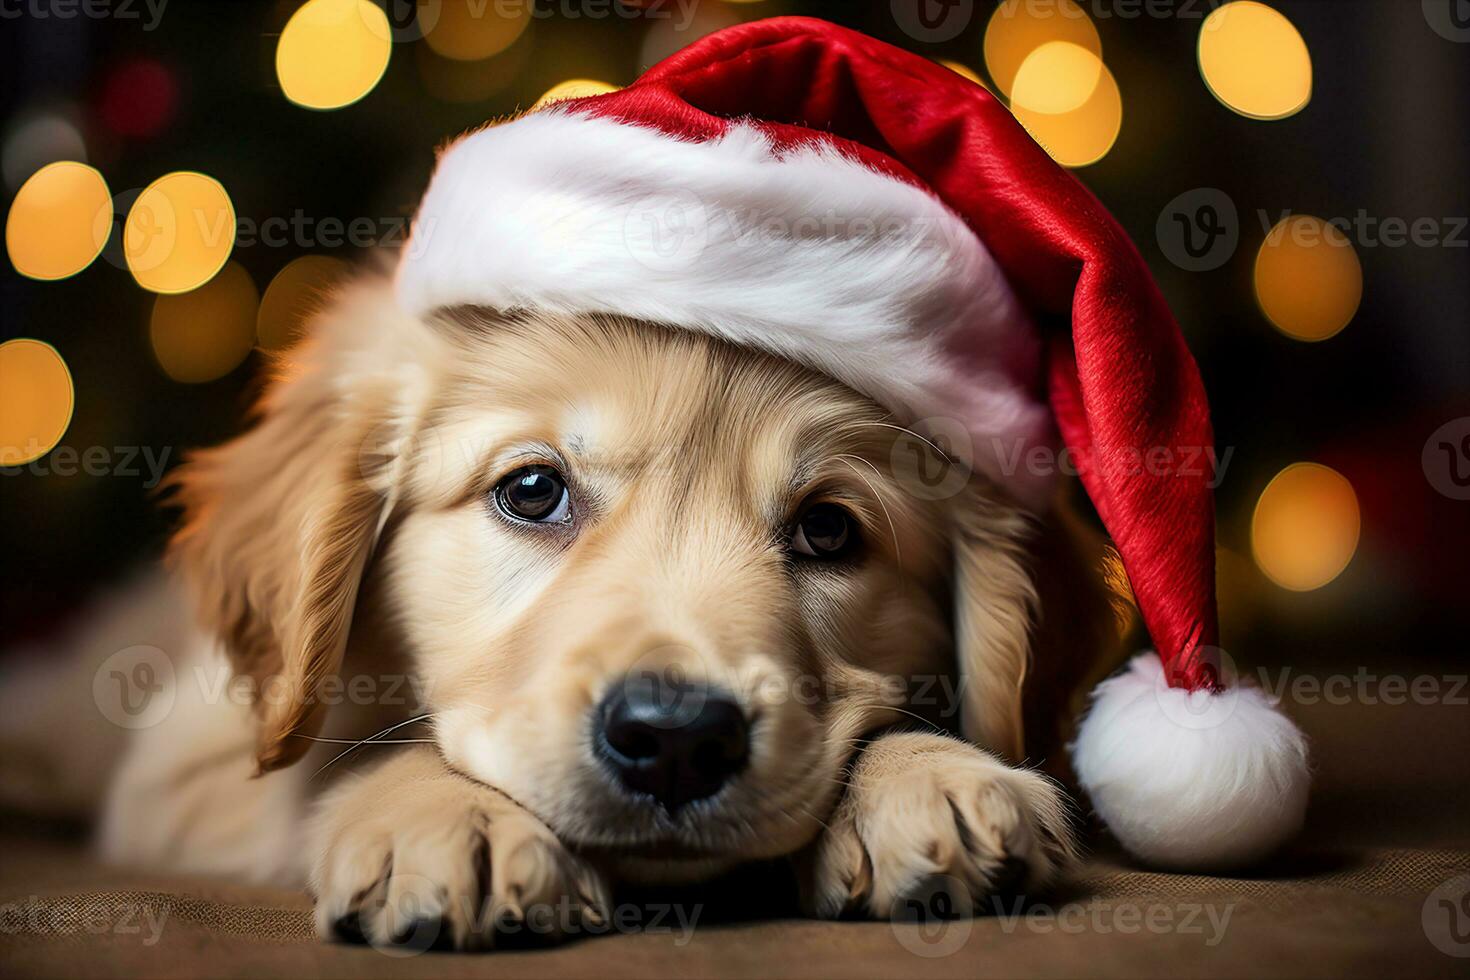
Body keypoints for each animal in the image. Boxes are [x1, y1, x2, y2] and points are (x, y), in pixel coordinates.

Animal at [80, 270, 1117, 952]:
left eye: (829, 530)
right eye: (533, 490)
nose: (677, 739)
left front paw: (925, 774)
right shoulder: (183, 763)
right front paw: (443, 812)